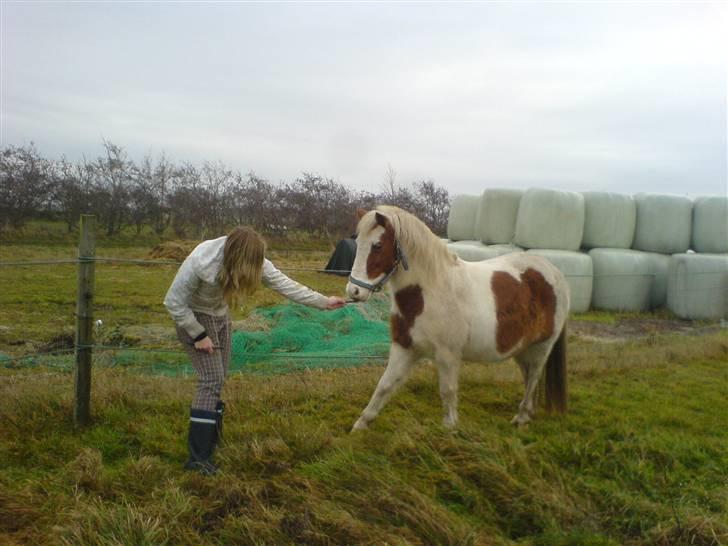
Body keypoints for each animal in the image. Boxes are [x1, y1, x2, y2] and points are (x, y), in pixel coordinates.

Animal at [346, 206, 568, 428]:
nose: (354, 291)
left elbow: (448, 391)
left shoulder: (448, 355)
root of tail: (555, 272)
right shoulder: (405, 348)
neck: (430, 292)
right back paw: (526, 414)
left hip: (541, 347)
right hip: (522, 348)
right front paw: (360, 425)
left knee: (534, 376)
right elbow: (384, 385)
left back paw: (521, 418)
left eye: (377, 245)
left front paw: (450, 428)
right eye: (357, 243)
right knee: (529, 376)